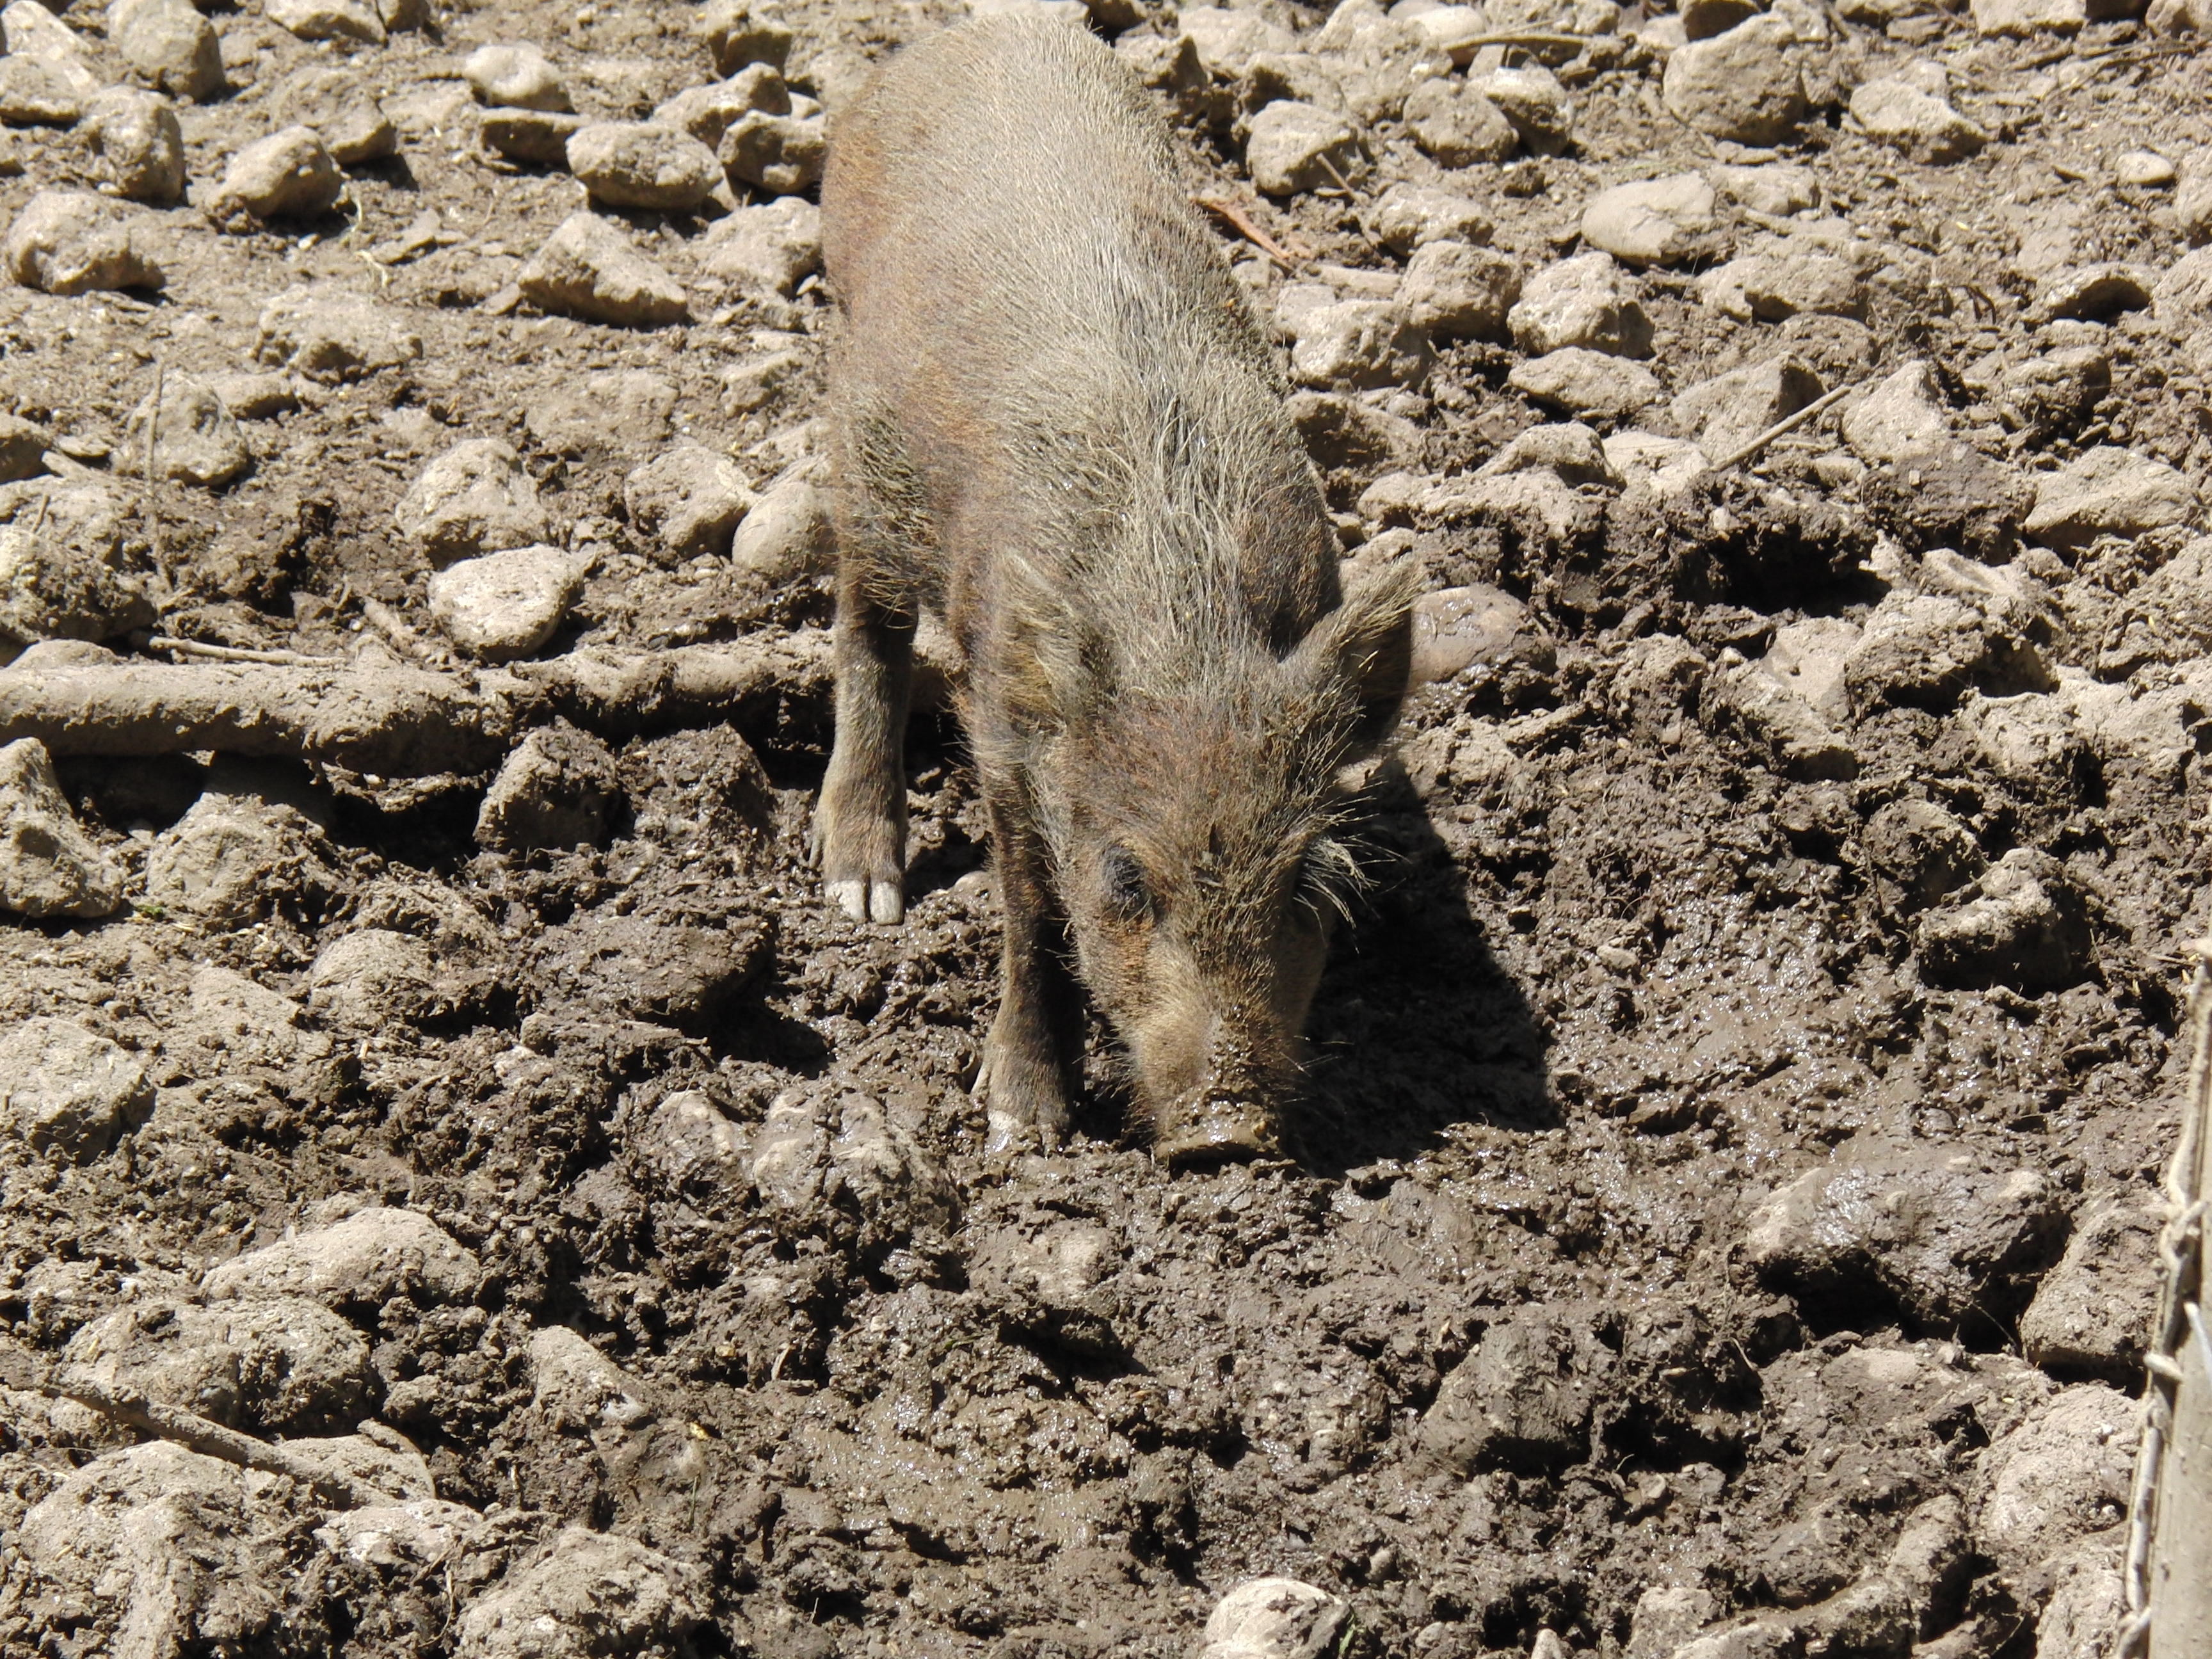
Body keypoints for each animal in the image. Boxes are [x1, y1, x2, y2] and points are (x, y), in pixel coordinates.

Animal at [816, 16, 1417, 1163]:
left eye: (1305, 885)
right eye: (1128, 881)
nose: (1228, 1130)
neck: (1182, 629)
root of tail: (963, 34)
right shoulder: (1004, 732)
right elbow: (1030, 918)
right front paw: (1021, 1130)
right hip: (865, 457)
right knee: (865, 632)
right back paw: (861, 896)